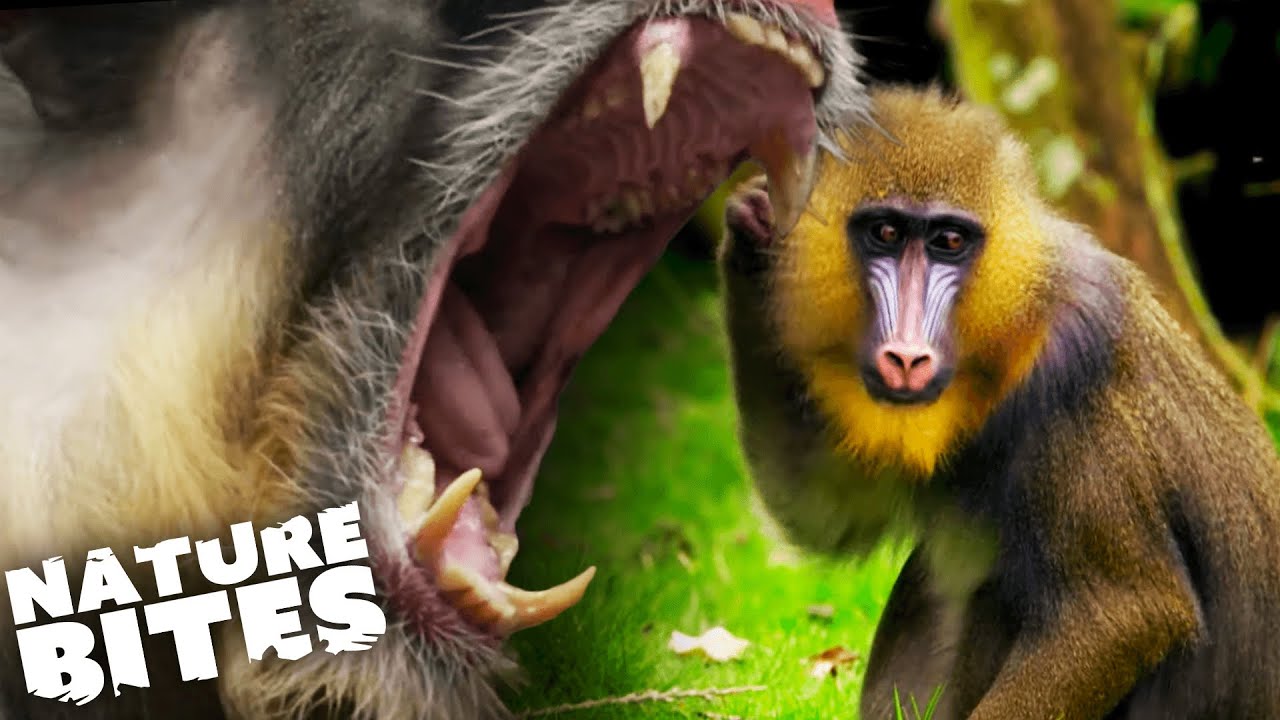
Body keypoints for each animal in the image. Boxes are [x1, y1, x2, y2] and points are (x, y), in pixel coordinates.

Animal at [718, 86, 1280, 720]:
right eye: (885, 233)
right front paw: (758, 228)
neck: (1005, 336)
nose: (905, 357)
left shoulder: (1074, 388)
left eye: (949, 243)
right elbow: (827, 510)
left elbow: (1126, 610)